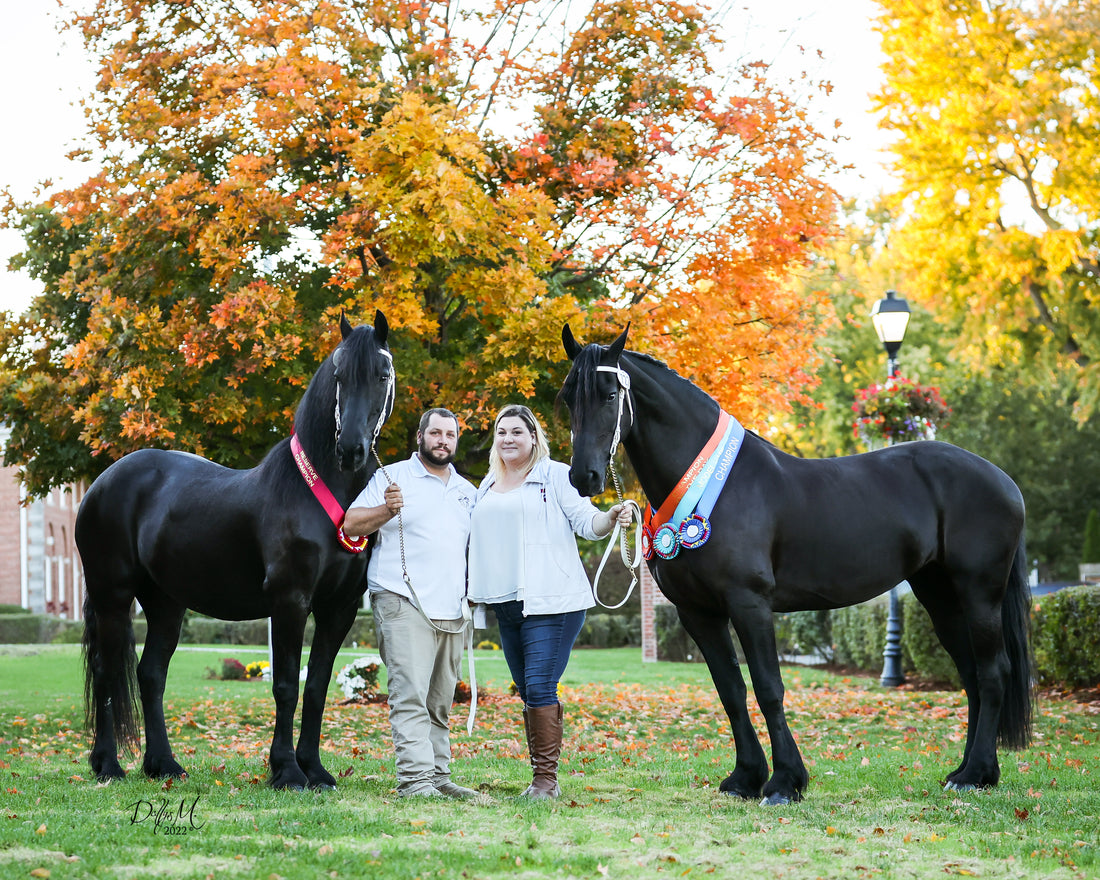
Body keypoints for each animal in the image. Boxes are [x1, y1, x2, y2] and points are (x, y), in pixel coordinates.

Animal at [74, 310, 391, 792]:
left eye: (382, 374)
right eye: (339, 375)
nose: (351, 449)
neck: (318, 492)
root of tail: (102, 482)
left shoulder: (339, 607)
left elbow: (316, 686)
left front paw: (316, 770)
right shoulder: (290, 600)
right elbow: (286, 685)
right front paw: (287, 771)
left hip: (166, 603)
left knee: (150, 675)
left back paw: (164, 764)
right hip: (113, 595)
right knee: (108, 672)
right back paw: (108, 765)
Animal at [563, 325, 1034, 805]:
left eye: (608, 395)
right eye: (567, 396)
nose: (584, 477)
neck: (713, 485)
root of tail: (1003, 480)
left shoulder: (749, 604)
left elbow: (768, 688)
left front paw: (785, 782)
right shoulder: (698, 613)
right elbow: (730, 690)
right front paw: (745, 778)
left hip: (979, 594)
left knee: (993, 673)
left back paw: (975, 773)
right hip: (940, 596)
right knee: (972, 675)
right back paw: (970, 772)